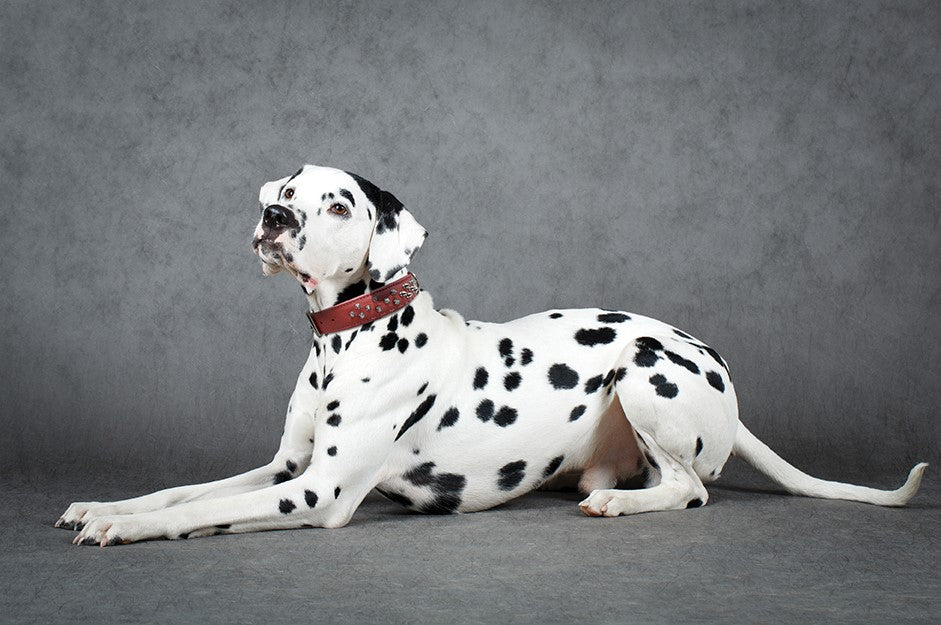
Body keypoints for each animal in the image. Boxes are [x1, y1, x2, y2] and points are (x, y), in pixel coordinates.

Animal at [57, 166, 924, 544]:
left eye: (336, 204)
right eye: (290, 190)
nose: (274, 216)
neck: (345, 336)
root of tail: (726, 386)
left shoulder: (314, 491)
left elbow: (197, 510)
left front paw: (124, 528)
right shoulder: (284, 466)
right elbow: (181, 490)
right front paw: (106, 506)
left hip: (646, 365)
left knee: (688, 489)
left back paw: (622, 505)